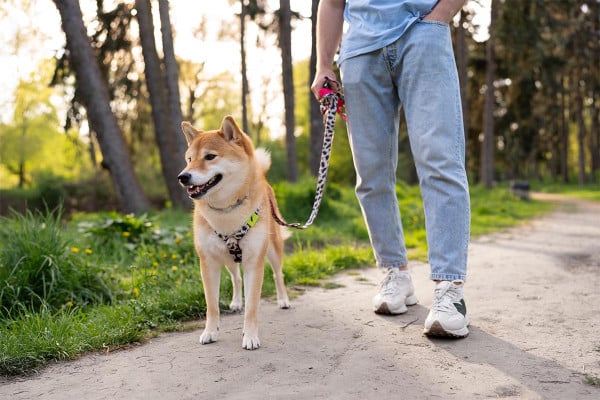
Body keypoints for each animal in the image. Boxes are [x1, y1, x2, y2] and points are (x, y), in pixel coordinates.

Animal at [177, 115, 292, 350]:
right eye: (189, 159)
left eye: (210, 156)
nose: (182, 176)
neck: (226, 212)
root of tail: (264, 178)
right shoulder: (208, 262)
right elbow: (212, 305)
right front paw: (210, 331)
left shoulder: (254, 263)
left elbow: (253, 307)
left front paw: (250, 336)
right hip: (228, 258)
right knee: (235, 278)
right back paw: (237, 301)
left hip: (273, 250)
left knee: (278, 275)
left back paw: (283, 299)